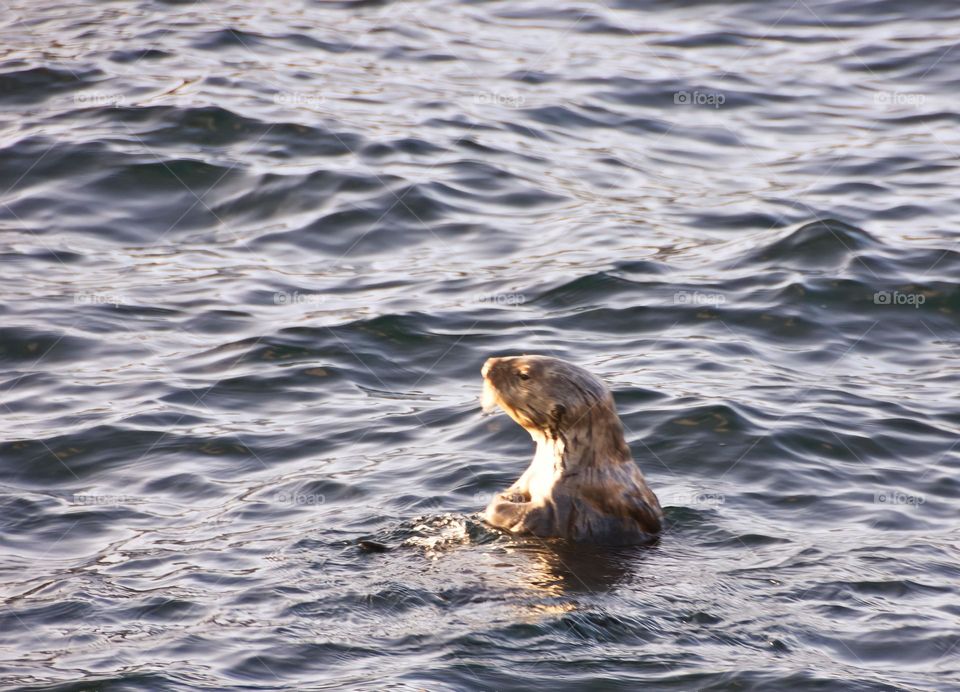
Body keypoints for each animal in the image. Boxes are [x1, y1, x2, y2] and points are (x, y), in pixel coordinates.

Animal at [480, 355, 662, 545]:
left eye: (524, 375)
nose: (488, 365)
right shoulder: (529, 478)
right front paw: (508, 496)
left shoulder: (563, 500)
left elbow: (531, 517)